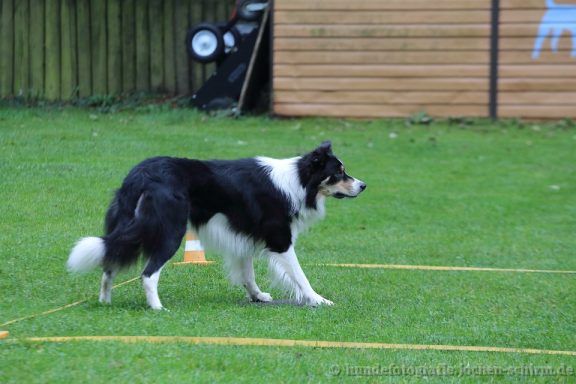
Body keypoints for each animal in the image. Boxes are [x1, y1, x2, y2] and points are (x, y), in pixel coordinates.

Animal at [67, 140, 364, 308]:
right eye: (338, 172)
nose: (363, 185)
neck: (300, 179)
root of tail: (140, 176)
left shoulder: (243, 234)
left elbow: (247, 273)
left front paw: (257, 296)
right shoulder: (280, 239)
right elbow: (300, 276)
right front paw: (318, 300)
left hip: (126, 223)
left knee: (110, 261)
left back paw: (105, 301)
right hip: (171, 231)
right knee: (148, 273)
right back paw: (157, 307)